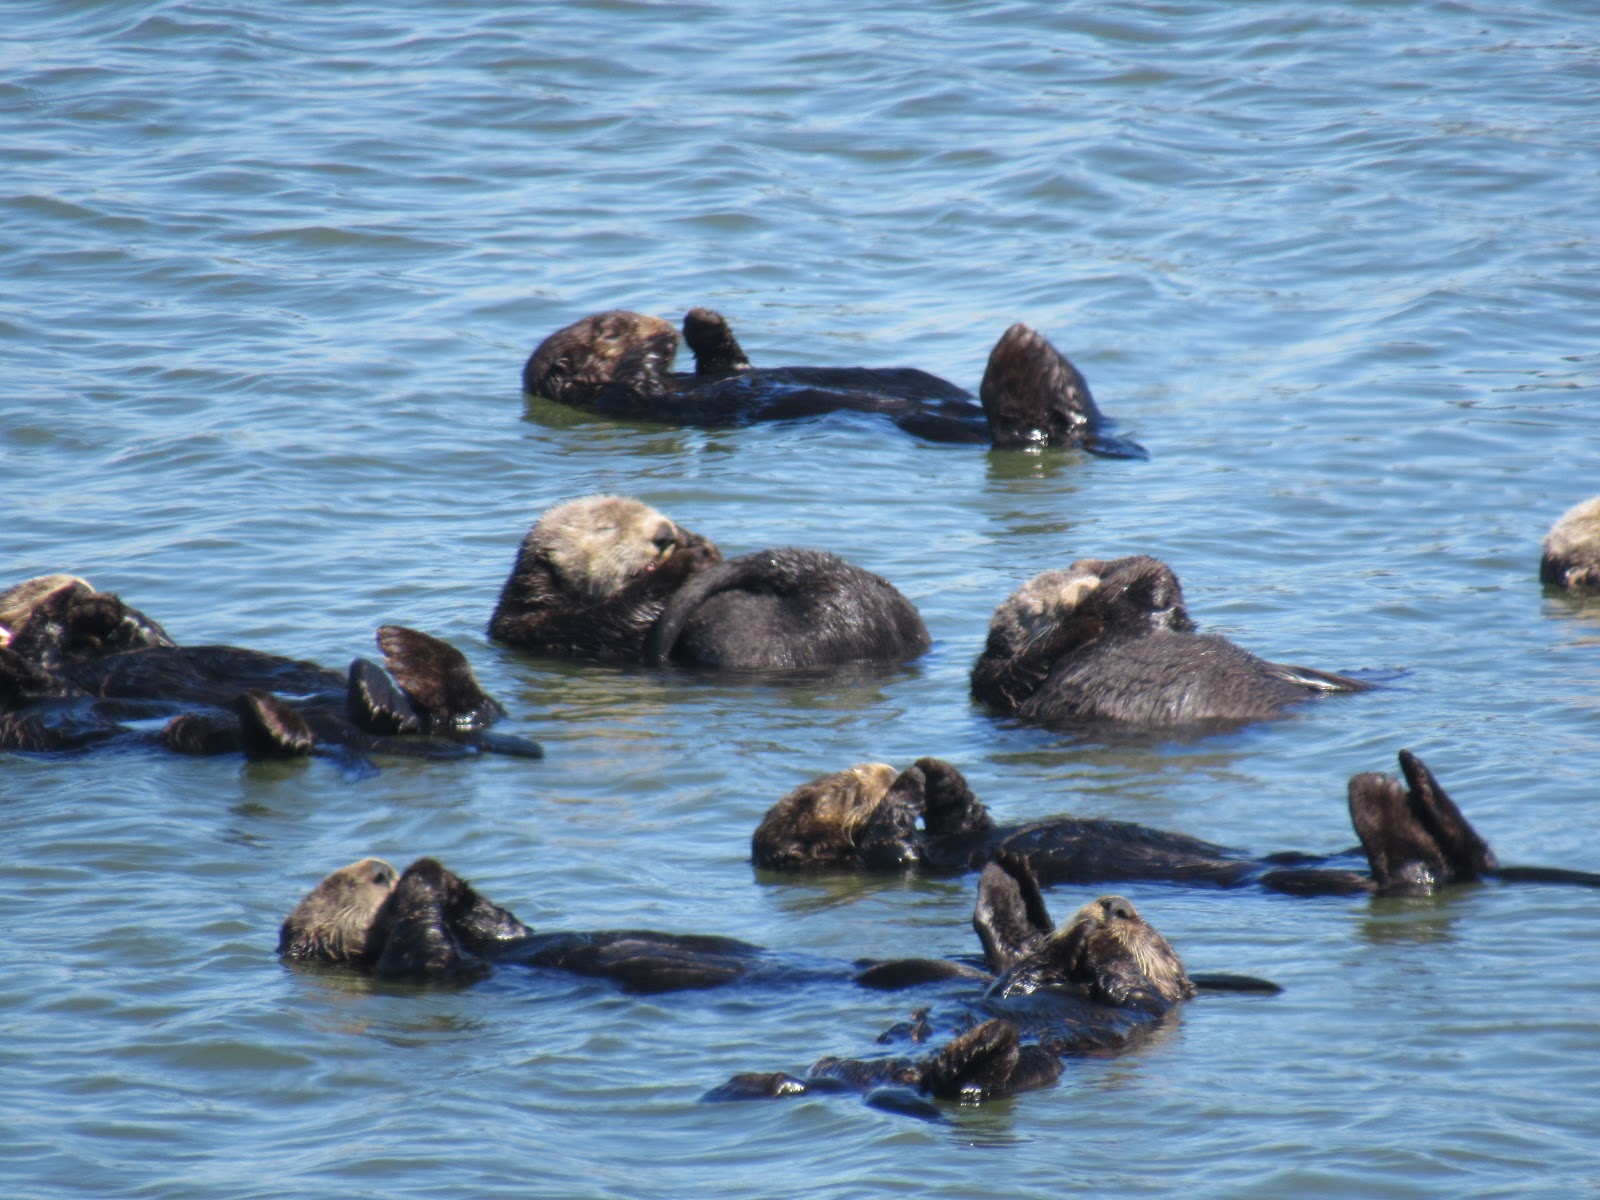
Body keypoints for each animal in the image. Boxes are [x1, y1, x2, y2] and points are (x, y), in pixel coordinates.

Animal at [0, 575, 541, 761]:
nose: (80, 586)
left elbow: (151, 635)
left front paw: (101, 608)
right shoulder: (42, 674)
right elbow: (37, 657)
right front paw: (73, 607)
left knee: (473, 706)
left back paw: (395, 660)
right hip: (196, 734)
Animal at [488, 494, 930, 671]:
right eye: (605, 527)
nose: (664, 533)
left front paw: (696, 543)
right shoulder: (547, 625)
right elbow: (620, 614)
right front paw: (689, 557)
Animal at [971, 554, 1370, 729]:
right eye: (1036, 609)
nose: (1078, 593)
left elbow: (1153, 575)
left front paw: (1095, 566)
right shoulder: (999, 684)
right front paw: (1084, 617)